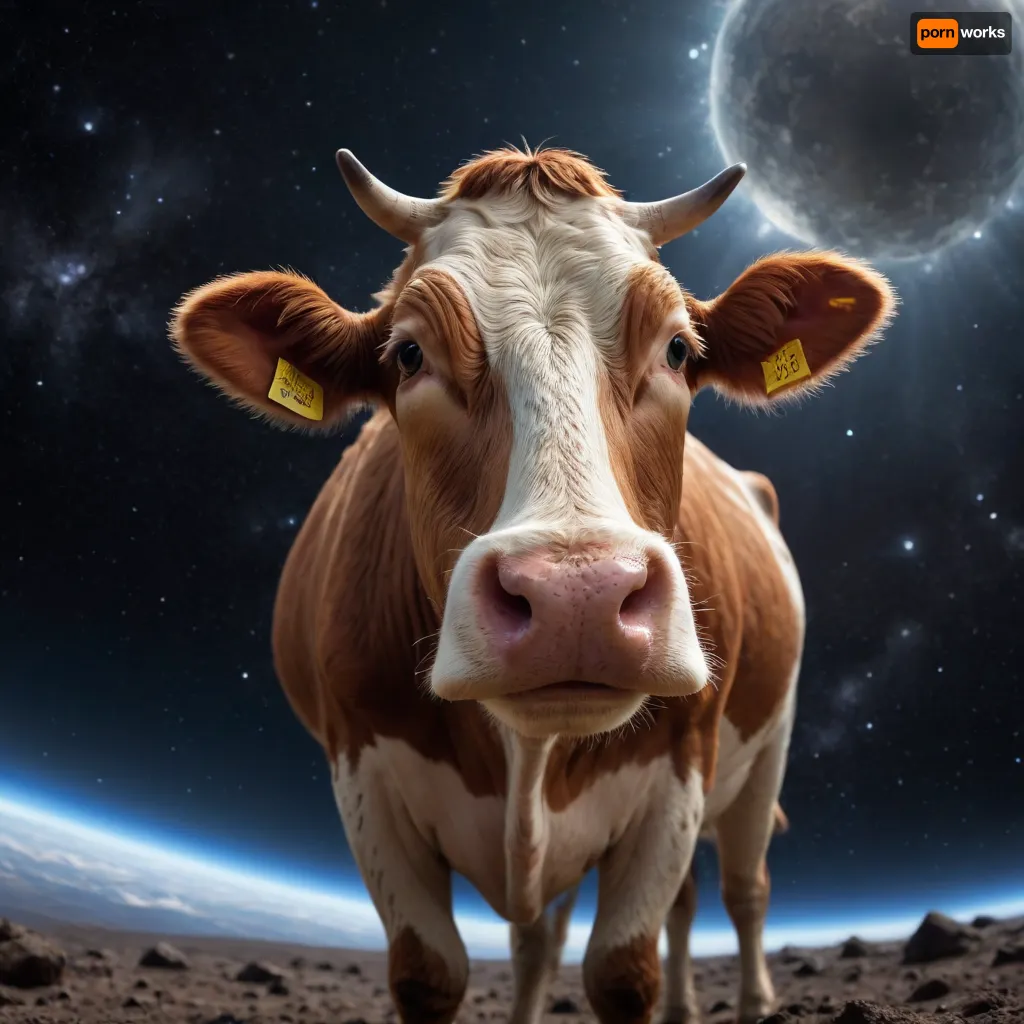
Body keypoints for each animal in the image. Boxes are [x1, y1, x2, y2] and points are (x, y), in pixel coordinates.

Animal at [169, 145, 895, 1024]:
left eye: (678, 350)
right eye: (408, 354)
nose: (575, 598)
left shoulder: (680, 768)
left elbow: (623, 972)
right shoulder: (361, 769)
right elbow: (434, 970)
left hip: (768, 749)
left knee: (744, 889)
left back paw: (753, 999)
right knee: (598, 926)